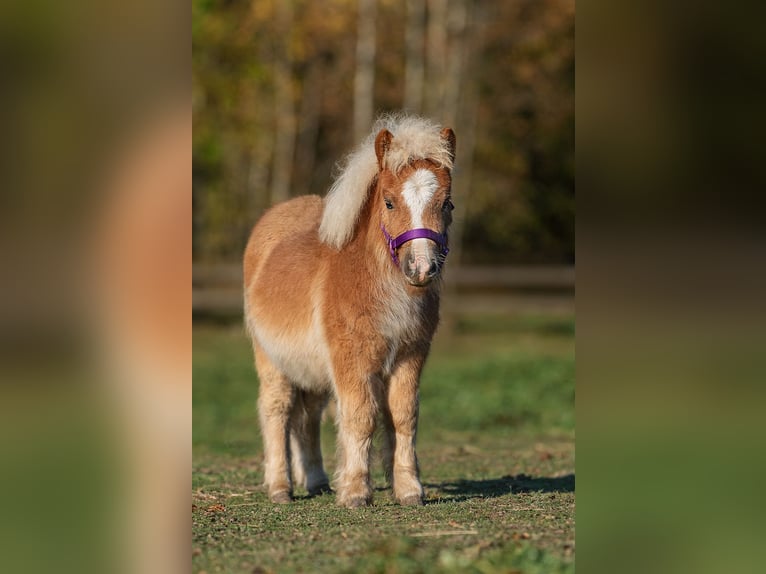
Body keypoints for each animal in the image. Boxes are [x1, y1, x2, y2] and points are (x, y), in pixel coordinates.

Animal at [244, 116, 456, 508]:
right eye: (389, 202)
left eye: (447, 203)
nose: (421, 268)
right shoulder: (351, 359)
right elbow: (360, 417)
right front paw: (357, 491)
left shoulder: (410, 357)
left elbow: (403, 417)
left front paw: (409, 490)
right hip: (271, 359)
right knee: (277, 409)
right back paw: (280, 488)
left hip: (311, 367)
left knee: (308, 416)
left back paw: (316, 481)